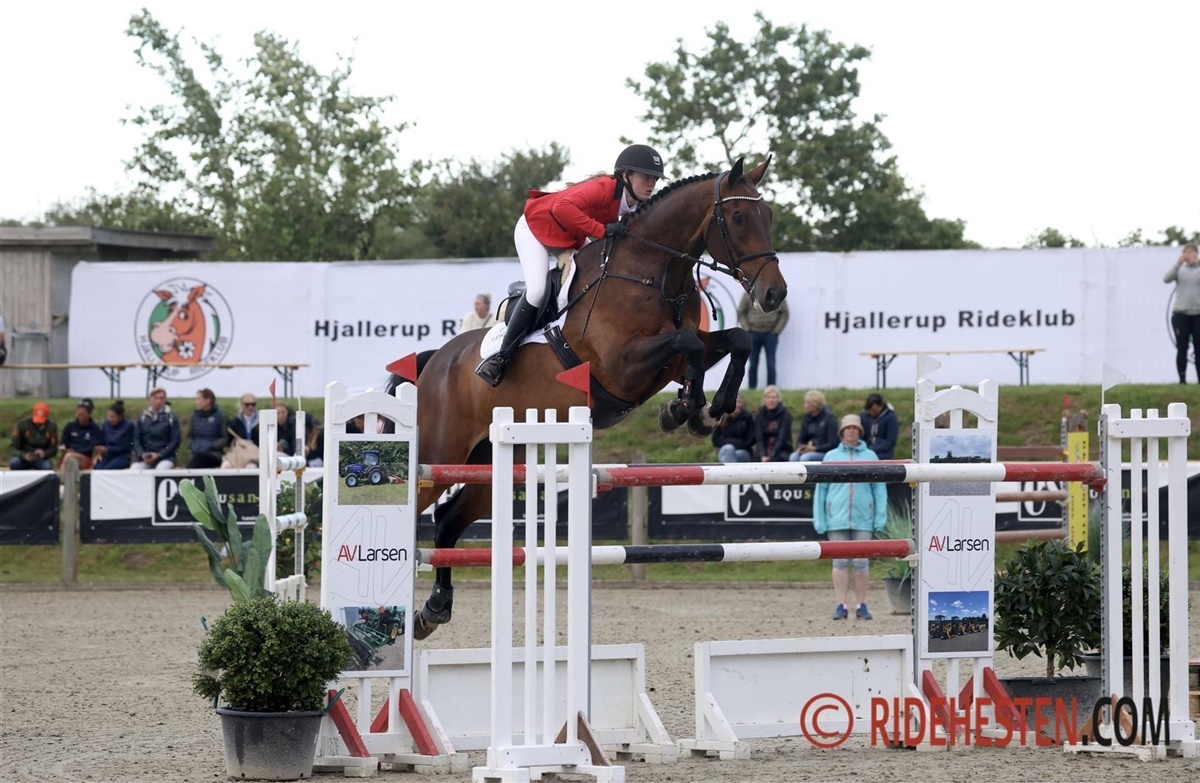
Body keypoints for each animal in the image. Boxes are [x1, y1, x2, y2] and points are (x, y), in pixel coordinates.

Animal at [390, 156, 787, 639]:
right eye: (739, 217)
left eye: (768, 216)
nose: (775, 294)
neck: (656, 272)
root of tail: (433, 360)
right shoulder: (621, 366)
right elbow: (688, 343)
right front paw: (685, 409)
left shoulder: (671, 358)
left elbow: (734, 341)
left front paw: (702, 411)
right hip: (439, 454)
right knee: (417, 511)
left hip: (495, 462)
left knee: (447, 522)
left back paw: (433, 609)